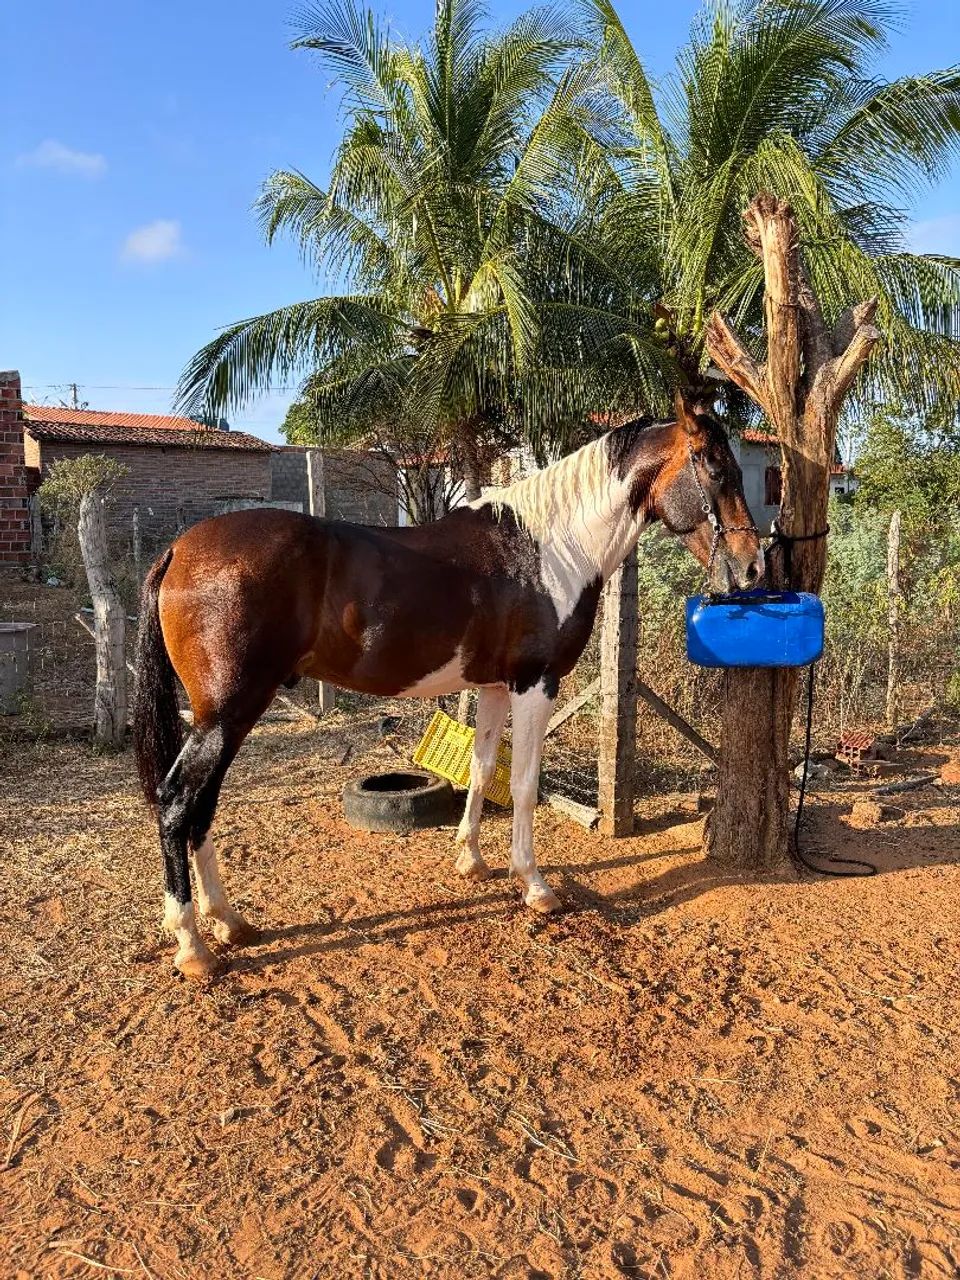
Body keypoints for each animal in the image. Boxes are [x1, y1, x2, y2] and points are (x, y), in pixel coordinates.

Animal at [133, 395, 763, 980]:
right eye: (714, 467)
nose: (753, 567)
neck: (550, 549)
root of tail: (179, 549)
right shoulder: (536, 684)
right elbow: (525, 783)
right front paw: (535, 885)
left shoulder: (494, 688)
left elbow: (482, 770)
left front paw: (471, 861)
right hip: (227, 713)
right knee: (177, 802)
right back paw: (192, 944)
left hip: (226, 716)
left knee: (202, 805)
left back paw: (228, 921)